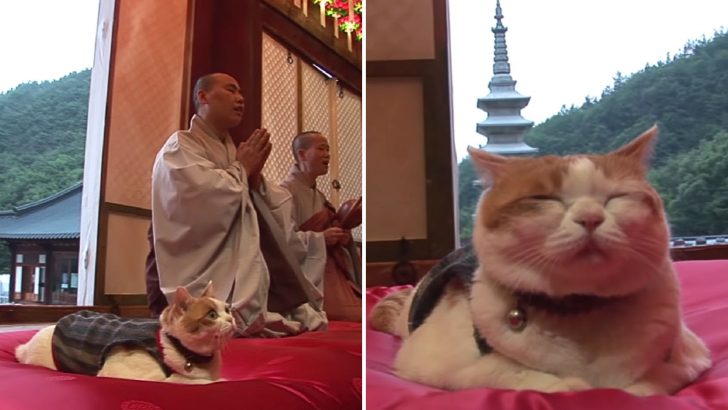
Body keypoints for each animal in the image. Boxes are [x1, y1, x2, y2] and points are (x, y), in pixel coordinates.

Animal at [372, 126, 712, 396]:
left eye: (616, 197)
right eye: (544, 199)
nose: (590, 217)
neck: (580, 311)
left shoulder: (691, 355)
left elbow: (649, 384)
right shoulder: (430, 360)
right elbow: (504, 371)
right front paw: (570, 386)